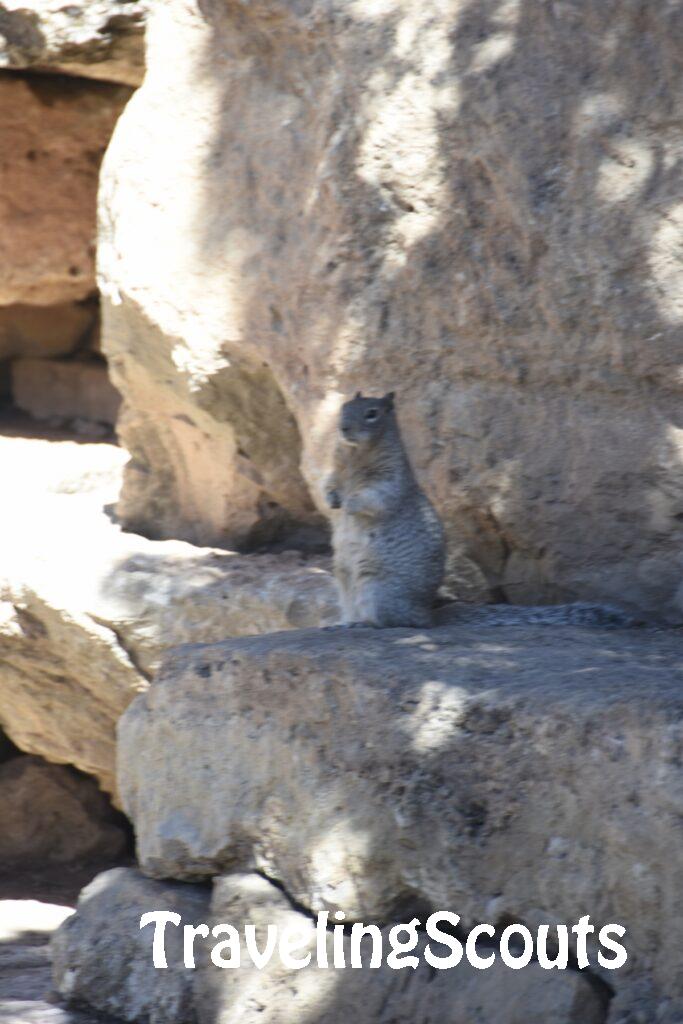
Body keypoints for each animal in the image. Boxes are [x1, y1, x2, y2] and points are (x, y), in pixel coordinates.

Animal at [324, 390, 446, 628]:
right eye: (344, 408)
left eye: (372, 413)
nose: (343, 427)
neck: (355, 455)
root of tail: (425, 614)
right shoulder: (335, 471)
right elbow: (328, 483)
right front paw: (332, 499)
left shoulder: (389, 478)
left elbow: (375, 496)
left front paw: (350, 503)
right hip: (343, 577)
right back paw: (341, 623)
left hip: (375, 587)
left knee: (386, 620)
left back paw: (363, 623)